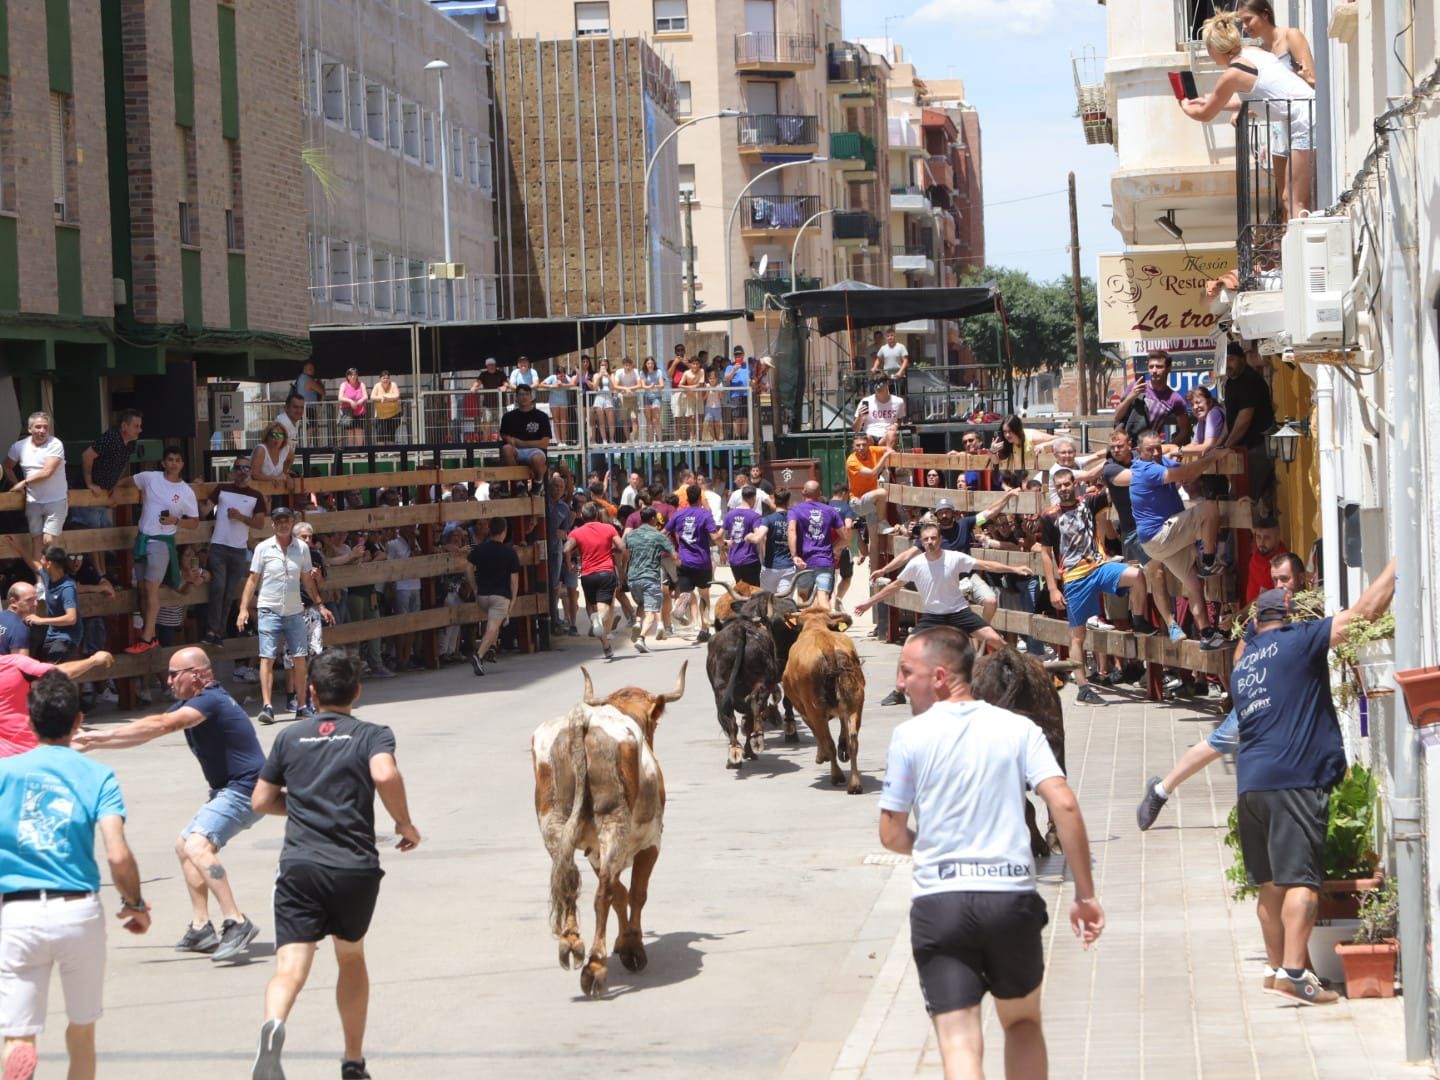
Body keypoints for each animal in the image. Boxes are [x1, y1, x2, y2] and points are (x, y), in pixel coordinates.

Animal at [532, 665, 688, 1002]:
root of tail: (582, 720)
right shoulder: (650, 844)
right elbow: (634, 893)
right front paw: (632, 946)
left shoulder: (594, 852)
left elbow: (621, 893)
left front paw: (625, 941)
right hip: (613, 825)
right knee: (602, 894)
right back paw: (595, 966)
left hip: (554, 824)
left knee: (567, 878)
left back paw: (571, 942)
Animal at [777, 610, 864, 794]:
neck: (816, 627)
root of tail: (827, 647)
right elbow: (842, 725)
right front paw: (842, 748)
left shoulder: (804, 711)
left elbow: (818, 734)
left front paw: (821, 755)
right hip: (856, 703)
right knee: (853, 740)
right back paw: (854, 783)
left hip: (814, 709)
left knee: (828, 742)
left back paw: (836, 775)